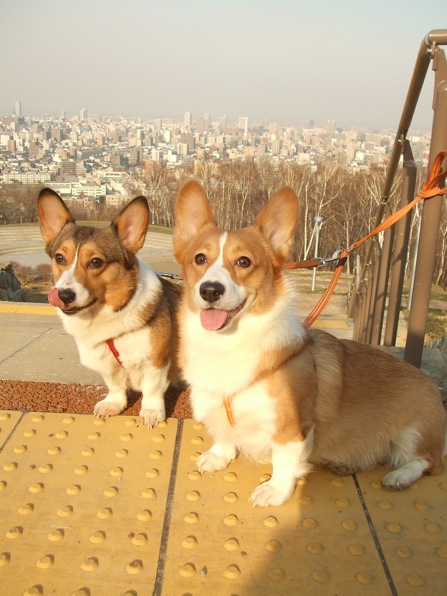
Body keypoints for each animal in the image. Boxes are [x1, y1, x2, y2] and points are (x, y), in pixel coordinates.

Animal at [37, 188, 181, 427]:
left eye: (96, 262)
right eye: (59, 258)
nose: (64, 295)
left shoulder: (156, 361)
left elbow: (152, 389)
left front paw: (151, 412)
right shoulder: (105, 363)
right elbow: (114, 385)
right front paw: (113, 404)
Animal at [173, 180, 447, 507]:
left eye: (244, 262)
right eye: (200, 259)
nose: (210, 290)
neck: (227, 344)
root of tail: (432, 383)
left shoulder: (292, 428)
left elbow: (284, 460)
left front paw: (275, 490)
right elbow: (223, 432)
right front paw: (219, 455)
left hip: (412, 434)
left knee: (428, 462)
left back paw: (399, 476)